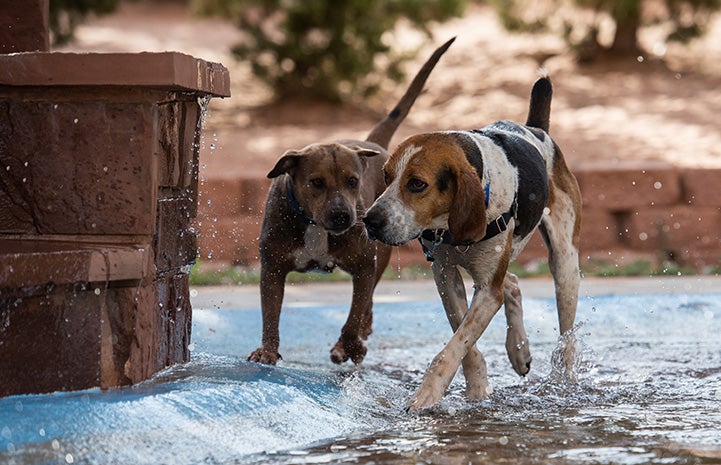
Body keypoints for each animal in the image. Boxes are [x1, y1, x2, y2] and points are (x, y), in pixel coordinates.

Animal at [246, 38, 450, 364]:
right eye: (316, 182)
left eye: (353, 181)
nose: (343, 215)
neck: (315, 225)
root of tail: (372, 143)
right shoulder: (273, 267)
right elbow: (270, 312)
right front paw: (267, 350)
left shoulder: (364, 265)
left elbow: (355, 310)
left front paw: (348, 344)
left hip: (381, 252)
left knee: (368, 301)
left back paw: (362, 332)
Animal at [362, 74, 584, 408]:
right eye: (387, 177)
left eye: (417, 184)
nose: (369, 221)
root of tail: (536, 129)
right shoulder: (445, 275)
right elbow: (464, 343)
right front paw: (478, 389)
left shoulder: (487, 292)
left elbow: (451, 349)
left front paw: (426, 396)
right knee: (513, 283)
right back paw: (519, 350)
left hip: (564, 264)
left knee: (566, 338)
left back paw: (565, 381)